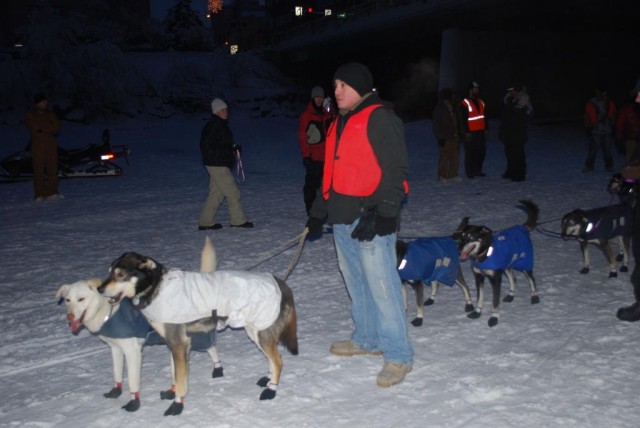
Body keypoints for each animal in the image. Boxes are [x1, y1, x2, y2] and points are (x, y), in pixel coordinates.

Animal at [99, 237, 298, 414]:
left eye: (120, 274)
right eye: (109, 272)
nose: (100, 289)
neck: (157, 287)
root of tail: (279, 282)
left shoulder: (179, 343)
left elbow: (180, 381)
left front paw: (177, 405)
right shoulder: (174, 344)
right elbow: (176, 374)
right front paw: (172, 392)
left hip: (261, 332)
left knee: (278, 360)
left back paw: (271, 389)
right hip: (255, 331)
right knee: (272, 358)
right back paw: (268, 378)